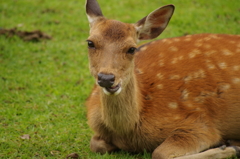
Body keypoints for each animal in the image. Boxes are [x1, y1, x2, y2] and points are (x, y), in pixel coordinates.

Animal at [84, 0, 240, 159]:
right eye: (90, 43)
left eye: (132, 49)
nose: (106, 78)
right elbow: (96, 144)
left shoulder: (200, 124)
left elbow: (159, 153)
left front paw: (229, 147)